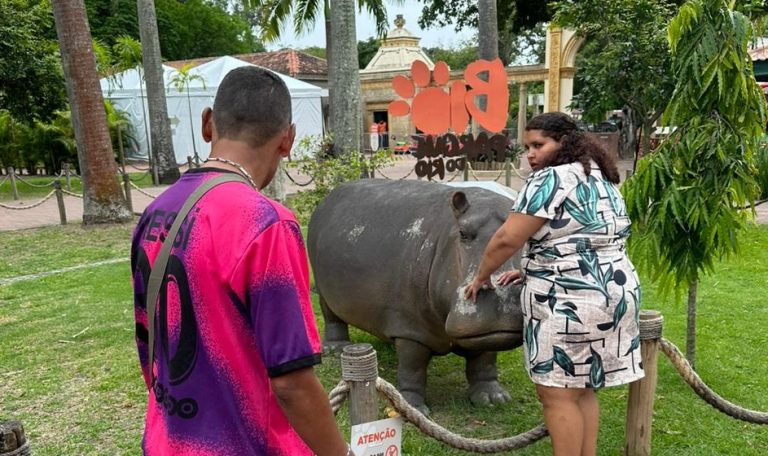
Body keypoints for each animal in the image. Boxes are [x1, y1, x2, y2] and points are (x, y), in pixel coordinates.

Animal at [307, 179, 524, 414]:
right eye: (462, 233)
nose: (502, 295)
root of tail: (330, 196)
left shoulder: (485, 334)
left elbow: (484, 359)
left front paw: (494, 399)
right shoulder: (410, 329)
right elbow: (413, 367)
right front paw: (412, 408)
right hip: (322, 289)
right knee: (331, 317)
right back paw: (334, 349)